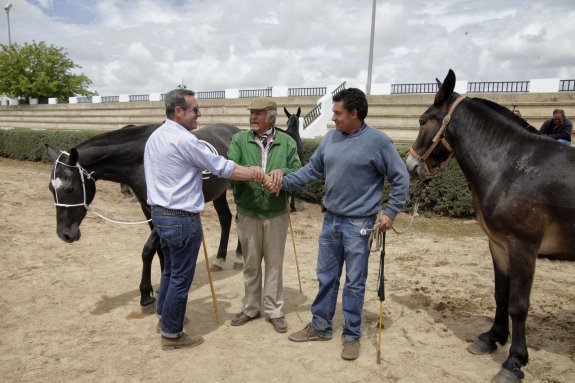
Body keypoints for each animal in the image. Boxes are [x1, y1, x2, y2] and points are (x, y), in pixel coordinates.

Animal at [46, 123, 241, 308]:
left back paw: (238, 257)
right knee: (226, 219)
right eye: (50, 188)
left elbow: (148, 250)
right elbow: (161, 248)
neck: (142, 160)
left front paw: (146, 293)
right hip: (219, 192)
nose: (64, 234)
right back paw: (219, 259)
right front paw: (163, 279)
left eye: (70, 188)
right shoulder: (147, 209)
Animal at [404, 70, 575, 383]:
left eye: (422, 121)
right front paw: (492, 338)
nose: (411, 164)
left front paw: (514, 362)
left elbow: (518, 305)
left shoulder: (523, 247)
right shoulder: (498, 244)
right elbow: (501, 294)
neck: (512, 167)